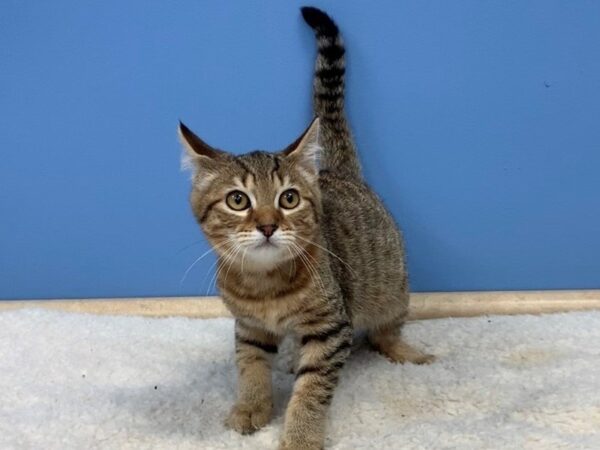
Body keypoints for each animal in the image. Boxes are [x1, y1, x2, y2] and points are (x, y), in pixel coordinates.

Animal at [177, 7, 432, 450]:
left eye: (289, 199)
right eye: (238, 200)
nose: (267, 225)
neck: (265, 285)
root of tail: (338, 171)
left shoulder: (330, 329)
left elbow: (313, 387)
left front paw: (300, 434)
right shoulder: (249, 326)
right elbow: (250, 364)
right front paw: (253, 406)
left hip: (389, 287)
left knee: (385, 329)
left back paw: (406, 352)